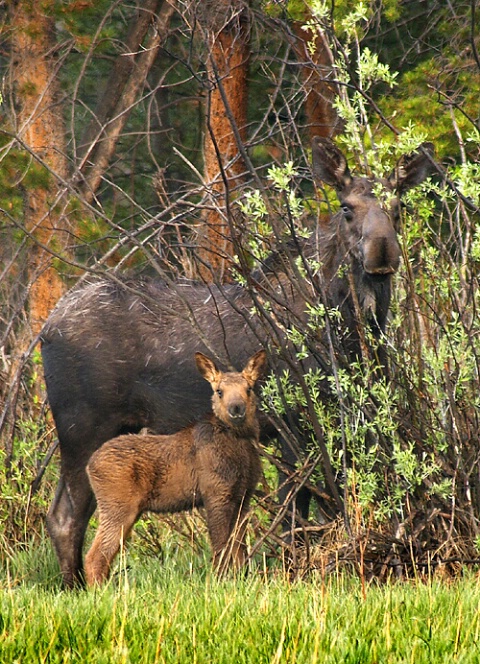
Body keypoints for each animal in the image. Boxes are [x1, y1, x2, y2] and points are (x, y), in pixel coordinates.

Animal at [86, 350, 266, 584]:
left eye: (249, 388)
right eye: (219, 391)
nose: (236, 408)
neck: (241, 448)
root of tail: (89, 466)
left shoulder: (243, 497)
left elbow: (240, 550)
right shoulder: (215, 493)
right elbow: (220, 548)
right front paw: (219, 581)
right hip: (117, 506)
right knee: (95, 556)